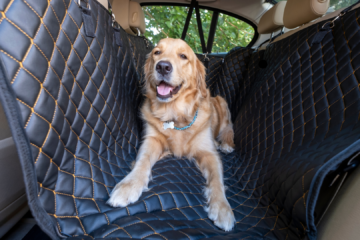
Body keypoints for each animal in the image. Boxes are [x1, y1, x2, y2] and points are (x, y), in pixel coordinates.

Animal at [107, 38, 236, 231]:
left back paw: (226, 143)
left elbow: (217, 180)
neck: (175, 115)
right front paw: (128, 186)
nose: (163, 67)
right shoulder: (151, 140)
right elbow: (142, 161)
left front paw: (222, 208)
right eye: (157, 52)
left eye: (183, 56)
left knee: (228, 128)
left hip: (222, 102)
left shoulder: (209, 154)